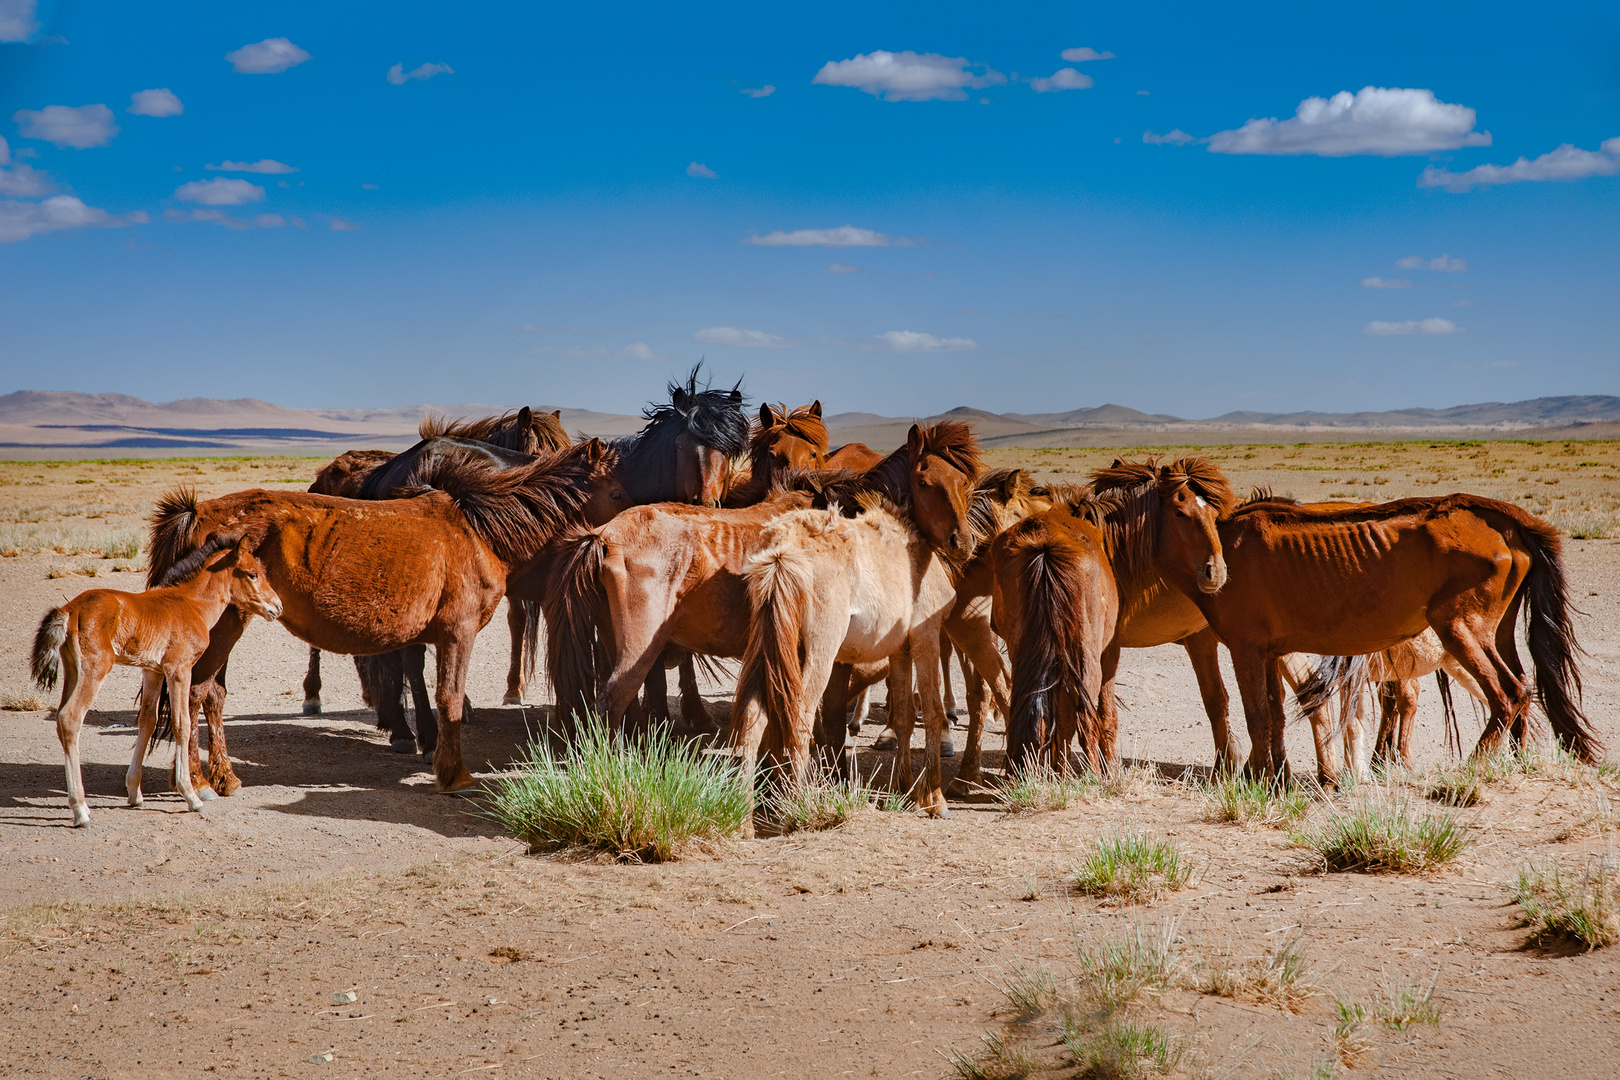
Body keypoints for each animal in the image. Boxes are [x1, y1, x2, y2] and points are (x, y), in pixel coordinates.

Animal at [28, 534, 280, 829]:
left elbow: (147, 722)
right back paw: (80, 810)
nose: (277, 606)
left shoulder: (153, 672)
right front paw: (191, 796)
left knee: (60, 718)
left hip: (72, 670)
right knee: (70, 718)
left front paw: (134, 793)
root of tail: (69, 609)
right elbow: (182, 724)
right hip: (95, 670)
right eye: (252, 574)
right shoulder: (179, 669)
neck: (191, 604)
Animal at [156, 440, 625, 793]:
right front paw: (453, 774)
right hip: (225, 628)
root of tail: (198, 513)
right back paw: (201, 781)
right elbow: (449, 698)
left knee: (210, 695)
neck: (479, 528)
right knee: (196, 694)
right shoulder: (459, 633)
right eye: (616, 491)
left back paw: (224, 778)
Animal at [1172, 495, 1600, 780]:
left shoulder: (1256, 649)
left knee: (1508, 691)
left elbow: (1275, 713)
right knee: (1524, 687)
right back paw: (1515, 762)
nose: (1212, 572)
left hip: (1459, 630)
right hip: (1495, 633)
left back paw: (1474, 768)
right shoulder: (1278, 653)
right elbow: (1284, 713)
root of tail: (1502, 517)